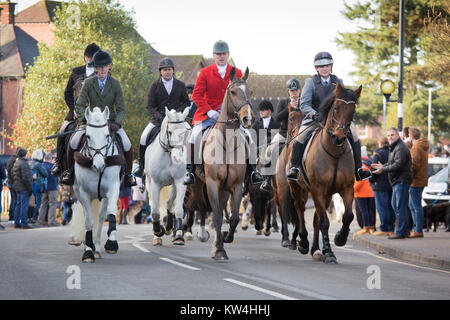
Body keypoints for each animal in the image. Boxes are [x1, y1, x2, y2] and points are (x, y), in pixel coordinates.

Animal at [69, 107, 121, 262]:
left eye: (107, 135)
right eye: (88, 136)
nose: (99, 165)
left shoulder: (113, 189)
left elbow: (111, 213)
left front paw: (111, 244)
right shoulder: (84, 194)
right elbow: (89, 222)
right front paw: (88, 251)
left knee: (102, 216)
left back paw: (97, 247)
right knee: (88, 216)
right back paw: (92, 246)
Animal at [145, 107, 191, 245]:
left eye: (184, 133)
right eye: (169, 132)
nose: (177, 158)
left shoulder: (180, 181)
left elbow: (178, 209)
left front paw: (179, 235)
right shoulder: (155, 184)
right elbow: (155, 212)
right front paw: (158, 231)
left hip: (173, 184)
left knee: (170, 203)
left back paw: (169, 227)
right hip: (149, 183)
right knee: (155, 205)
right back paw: (158, 236)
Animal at [196, 67, 253, 260]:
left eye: (250, 92)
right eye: (233, 92)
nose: (247, 119)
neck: (227, 143)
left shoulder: (236, 186)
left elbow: (233, 217)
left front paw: (226, 239)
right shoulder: (212, 183)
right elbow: (218, 217)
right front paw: (220, 250)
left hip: (224, 190)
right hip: (199, 184)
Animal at [290, 82, 364, 264]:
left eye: (353, 111)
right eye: (336, 108)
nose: (339, 137)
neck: (334, 152)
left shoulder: (346, 188)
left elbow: (348, 216)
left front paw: (340, 238)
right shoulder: (317, 189)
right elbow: (324, 221)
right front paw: (329, 253)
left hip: (327, 194)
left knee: (315, 218)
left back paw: (316, 250)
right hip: (298, 188)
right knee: (300, 209)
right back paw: (304, 242)